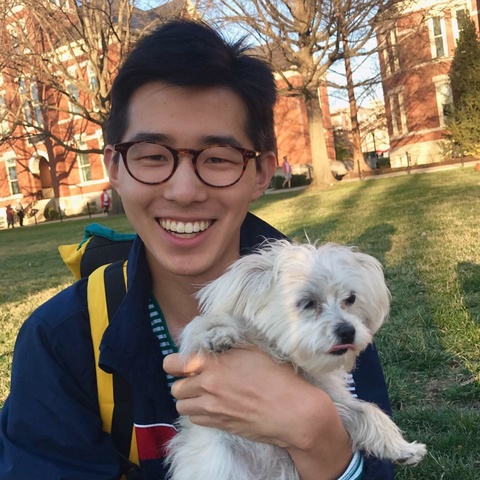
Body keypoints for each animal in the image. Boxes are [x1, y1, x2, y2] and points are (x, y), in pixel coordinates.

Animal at [166, 242, 428, 478]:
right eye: (307, 302)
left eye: (351, 299)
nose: (348, 331)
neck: (287, 358)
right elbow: (203, 325)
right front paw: (217, 332)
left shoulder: (333, 401)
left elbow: (367, 410)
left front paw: (402, 448)